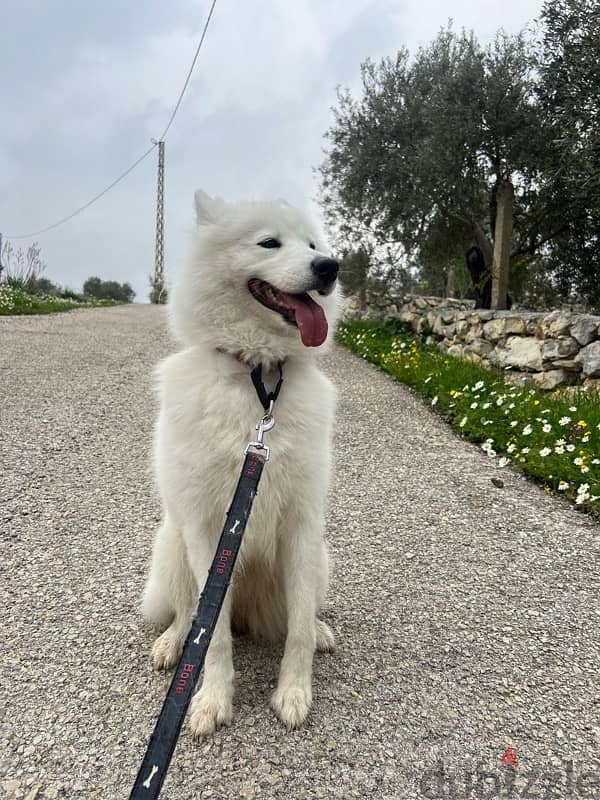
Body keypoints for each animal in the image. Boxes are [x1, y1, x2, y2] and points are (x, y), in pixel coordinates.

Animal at [139, 189, 338, 736]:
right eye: (269, 242)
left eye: (313, 245)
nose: (330, 266)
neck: (260, 378)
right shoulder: (208, 528)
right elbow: (213, 635)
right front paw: (211, 700)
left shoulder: (301, 523)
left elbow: (296, 630)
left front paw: (293, 693)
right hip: (173, 546)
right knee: (186, 614)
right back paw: (170, 644)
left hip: (320, 557)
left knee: (301, 613)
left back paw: (321, 628)